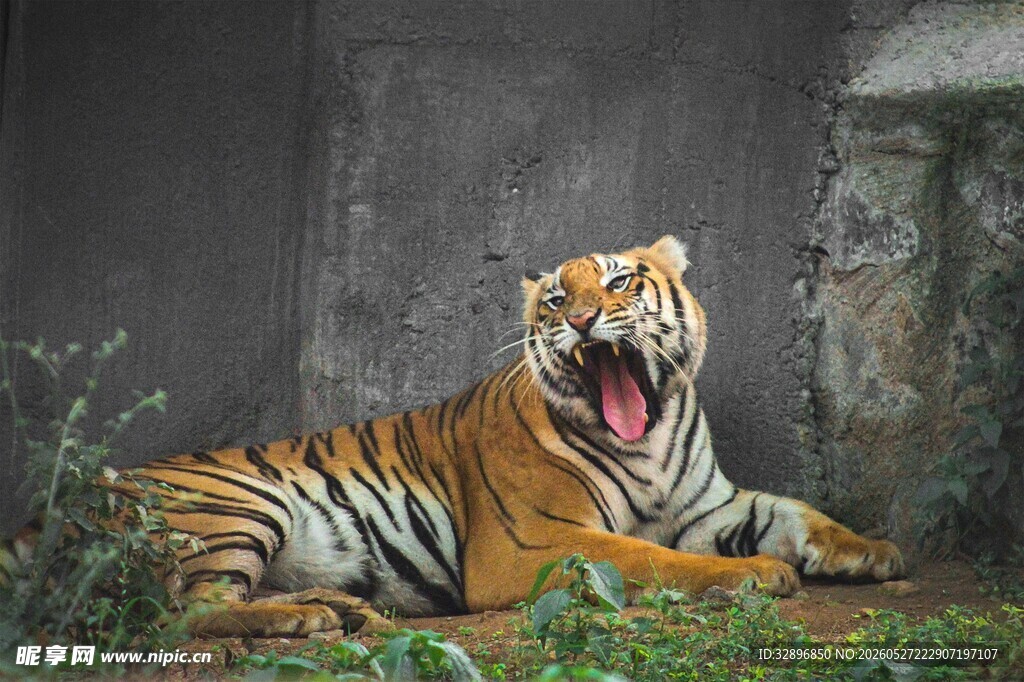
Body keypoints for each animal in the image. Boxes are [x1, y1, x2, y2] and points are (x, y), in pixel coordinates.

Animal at [4, 236, 904, 638]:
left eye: (619, 281)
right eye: (555, 299)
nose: (581, 319)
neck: (645, 439)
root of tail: (63, 502)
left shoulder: (708, 503)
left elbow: (793, 511)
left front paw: (872, 552)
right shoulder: (536, 543)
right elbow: (652, 557)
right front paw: (754, 576)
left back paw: (338, 608)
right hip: (235, 505)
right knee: (174, 614)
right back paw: (308, 622)